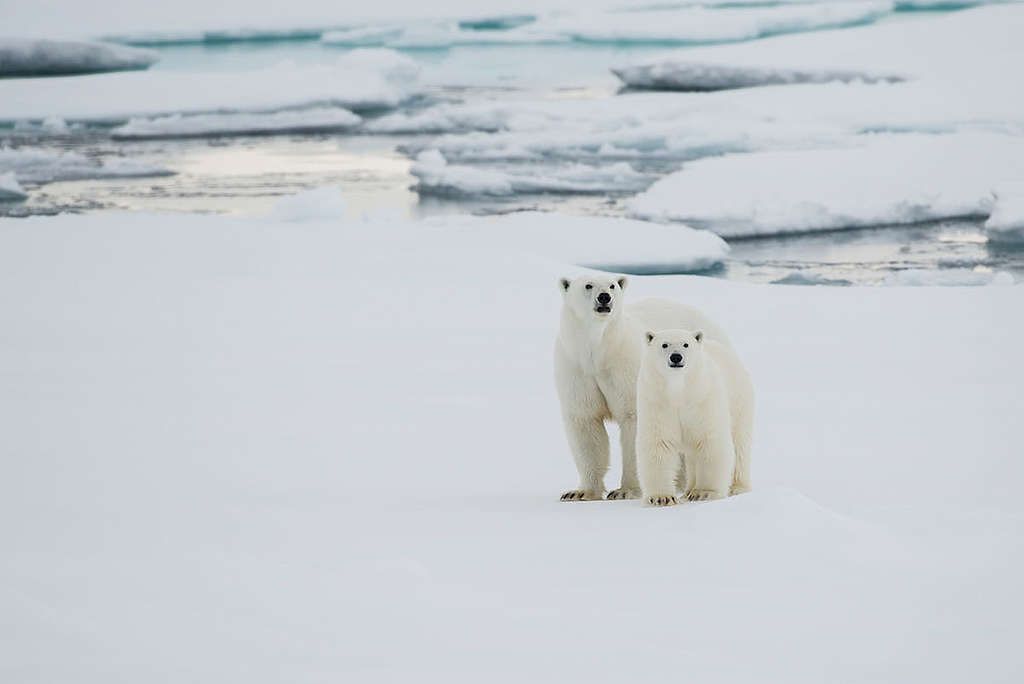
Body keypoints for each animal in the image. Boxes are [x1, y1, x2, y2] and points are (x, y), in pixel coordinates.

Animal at [557, 274, 733, 501]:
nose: (604, 297)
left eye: (612, 285)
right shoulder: (576, 368)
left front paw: (626, 490)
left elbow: (634, 421)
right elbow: (585, 424)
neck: (599, 352)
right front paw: (580, 492)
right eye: (588, 285)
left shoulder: (626, 367)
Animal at [630, 327, 753, 505]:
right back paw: (688, 490)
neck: (679, 391)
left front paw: (704, 493)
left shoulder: (703, 397)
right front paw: (661, 497)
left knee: (740, 445)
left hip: (739, 401)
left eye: (686, 344)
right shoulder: (656, 401)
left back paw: (737, 488)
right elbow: (659, 442)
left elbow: (710, 440)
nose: (676, 357)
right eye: (664, 344)